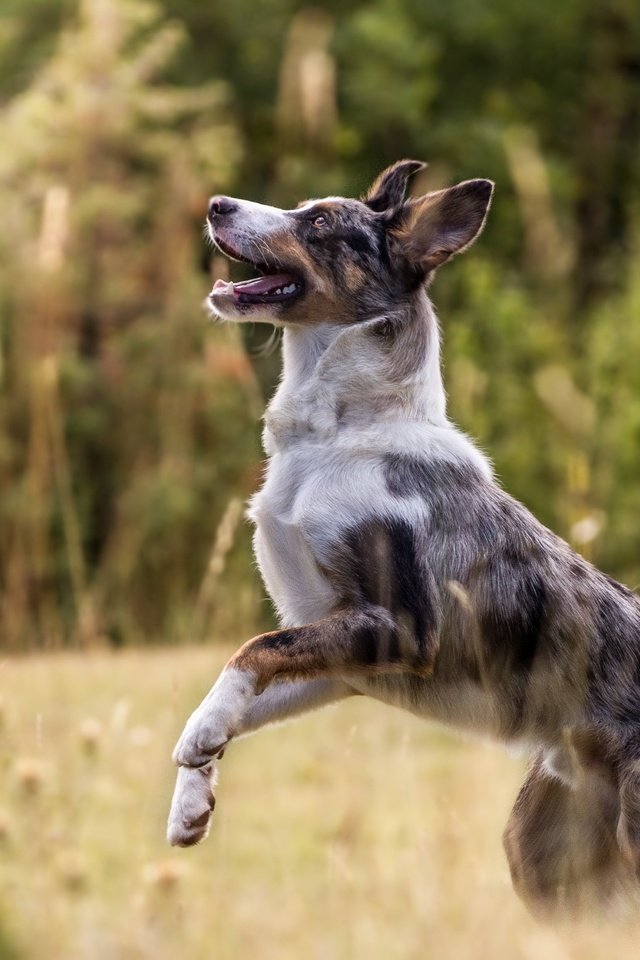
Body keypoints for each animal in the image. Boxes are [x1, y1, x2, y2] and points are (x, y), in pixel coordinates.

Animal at [168, 161, 640, 920]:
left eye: (320, 223)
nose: (215, 203)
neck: (339, 435)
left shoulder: (401, 628)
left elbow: (250, 650)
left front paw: (197, 740)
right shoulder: (341, 654)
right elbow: (247, 681)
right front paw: (190, 794)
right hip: (544, 851)